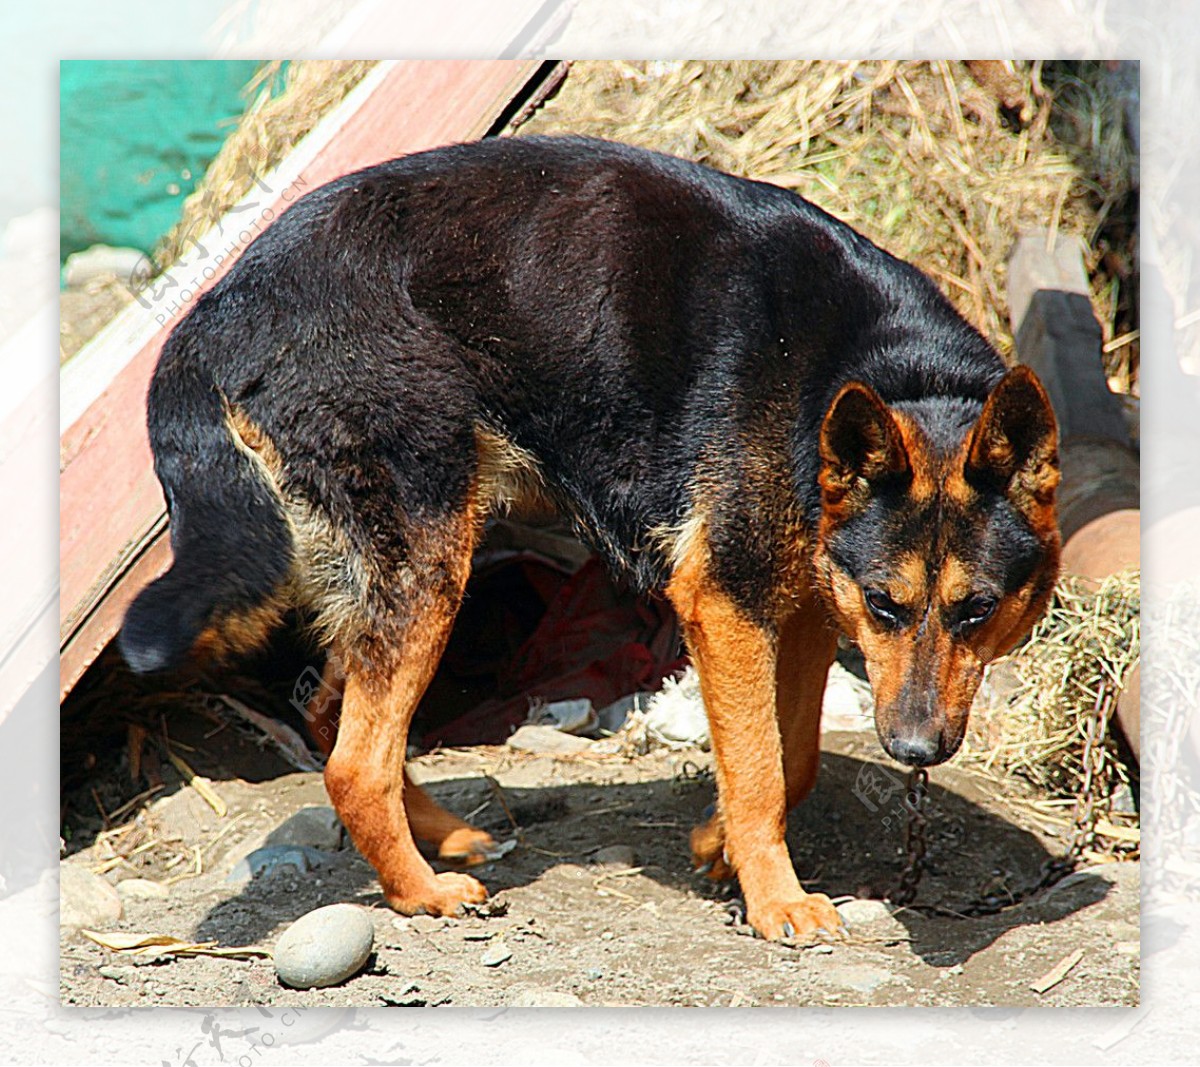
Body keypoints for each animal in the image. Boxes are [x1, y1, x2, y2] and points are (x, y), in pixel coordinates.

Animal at [119, 135, 1060, 940]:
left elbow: (791, 759)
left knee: (327, 714)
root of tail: (208, 319)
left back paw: (442, 836)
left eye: (977, 611)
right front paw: (776, 900)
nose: (915, 750)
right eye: (887, 605)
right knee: (354, 761)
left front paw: (722, 846)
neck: (885, 374)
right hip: (430, 564)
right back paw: (421, 891)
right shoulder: (728, 604)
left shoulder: (794, 612)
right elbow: (761, 767)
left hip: (396, 570)